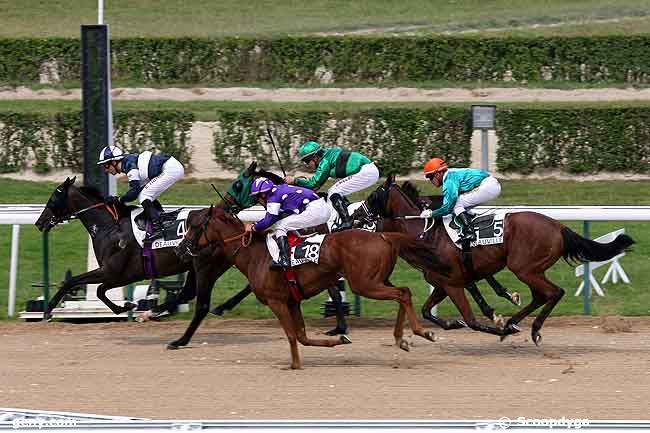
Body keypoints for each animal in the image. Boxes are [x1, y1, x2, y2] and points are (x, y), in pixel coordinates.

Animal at [172, 206, 446, 368]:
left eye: (195, 226)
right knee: (403, 293)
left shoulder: (277, 302)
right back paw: (402, 339)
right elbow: (303, 336)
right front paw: (339, 340)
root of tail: (383, 235)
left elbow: (292, 335)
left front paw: (294, 365)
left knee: (402, 293)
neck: (255, 255)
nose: (180, 249)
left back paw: (422, 332)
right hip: (378, 280)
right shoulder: (293, 300)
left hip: (365, 284)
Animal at [354, 174, 632, 342]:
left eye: (374, 195)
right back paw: (512, 323)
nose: (357, 214)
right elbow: (427, 311)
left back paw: (530, 328)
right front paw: (457, 324)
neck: (424, 234)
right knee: (540, 295)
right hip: (531, 269)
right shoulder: (444, 283)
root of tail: (559, 226)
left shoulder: (454, 283)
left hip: (524, 268)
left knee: (554, 292)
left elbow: (471, 319)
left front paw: (491, 323)